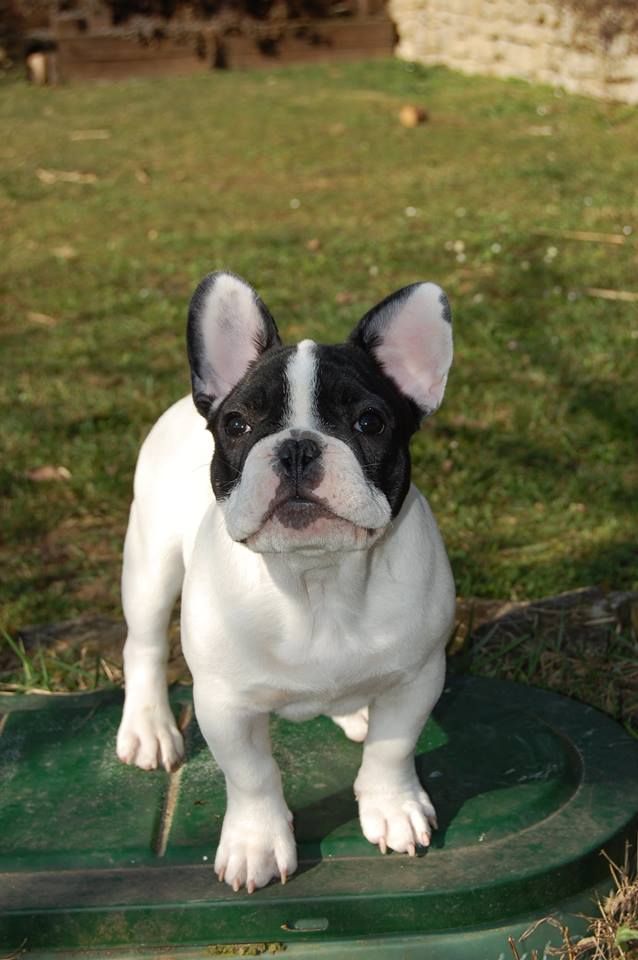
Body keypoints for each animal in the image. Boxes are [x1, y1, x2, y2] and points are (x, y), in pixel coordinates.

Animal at [117, 270, 458, 892]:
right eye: (237, 424)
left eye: (369, 422)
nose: (298, 446)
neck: (316, 580)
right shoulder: (224, 703)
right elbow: (252, 774)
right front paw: (256, 842)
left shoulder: (419, 676)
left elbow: (393, 748)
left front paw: (392, 806)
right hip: (150, 563)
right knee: (145, 645)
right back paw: (149, 728)